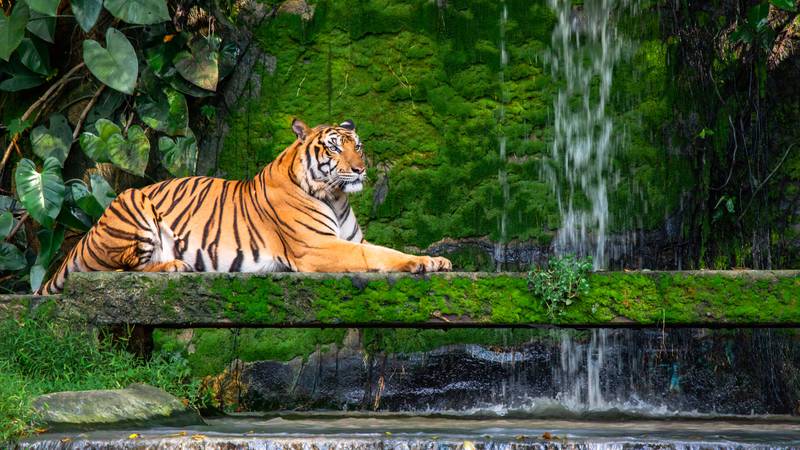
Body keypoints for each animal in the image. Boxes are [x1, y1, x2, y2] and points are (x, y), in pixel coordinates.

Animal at [39, 118, 450, 296]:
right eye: (334, 148)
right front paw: (421, 262)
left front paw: (436, 259)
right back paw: (175, 265)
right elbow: (379, 255)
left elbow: (381, 248)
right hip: (134, 204)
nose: (361, 168)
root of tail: (87, 235)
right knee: (120, 268)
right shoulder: (317, 247)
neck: (336, 196)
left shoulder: (347, 239)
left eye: (358, 145)